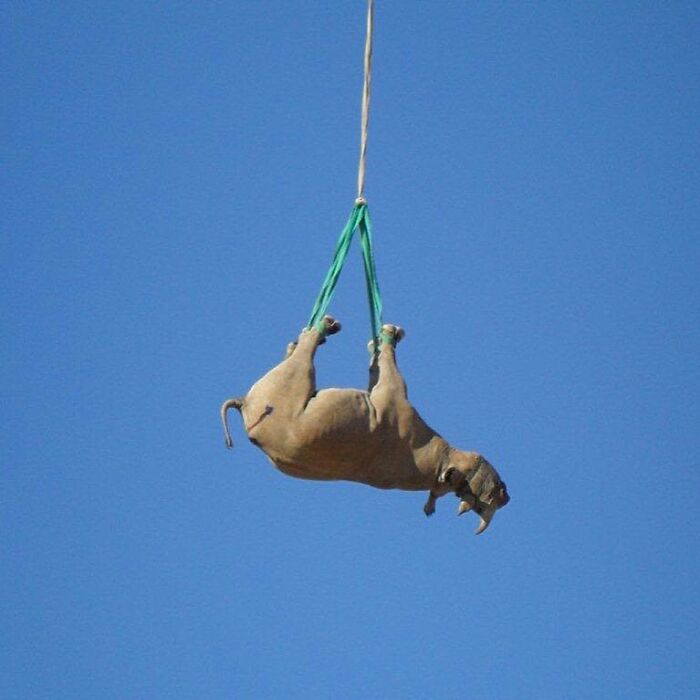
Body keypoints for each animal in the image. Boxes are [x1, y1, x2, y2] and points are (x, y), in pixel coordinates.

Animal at [221, 315, 509, 534]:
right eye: (474, 476)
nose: (505, 496)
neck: (438, 460)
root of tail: (244, 404)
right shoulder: (395, 398)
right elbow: (381, 369)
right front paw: (384, 339)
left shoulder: (392, 399)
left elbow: (381, 369)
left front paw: (384, 338)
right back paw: (313, 334)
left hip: (288, 381)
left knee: (302, 357)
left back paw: (315, 333)